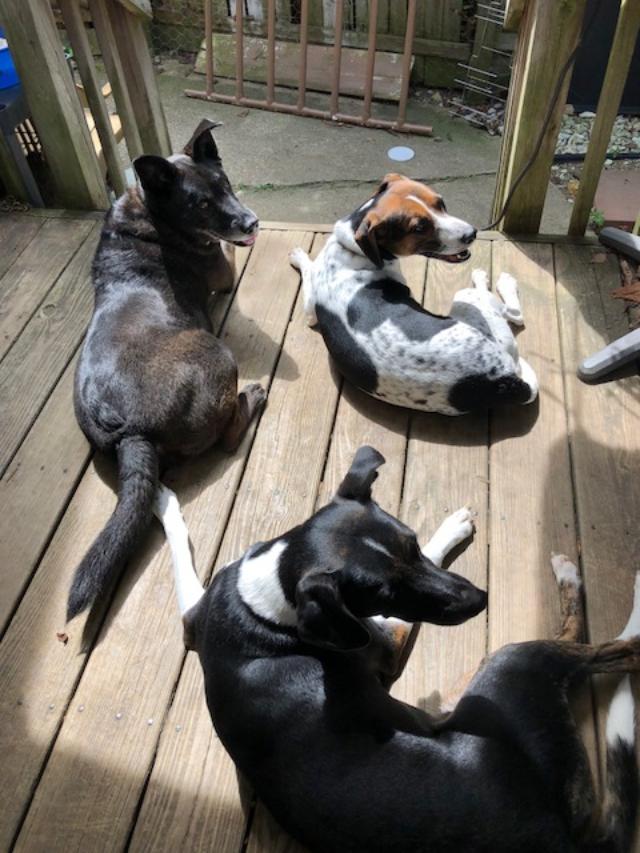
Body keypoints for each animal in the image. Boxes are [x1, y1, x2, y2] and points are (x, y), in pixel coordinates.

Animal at [68, 119, 266, 621]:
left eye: (226, 184)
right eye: (200, 203)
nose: (252, 222)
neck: (150, 217)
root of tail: (129, 430)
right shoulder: (223, 272)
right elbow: (228, 259)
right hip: (218, 355)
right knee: (228, 436)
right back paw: (252, 398)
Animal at [154, 445, 638, 853]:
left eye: (412, 542)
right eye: (384, 593)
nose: (480, 600)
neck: (269, 597)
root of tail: (556, 837)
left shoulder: (193, 616)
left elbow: (182, 560)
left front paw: (163, 502)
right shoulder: (381, 641)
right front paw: (452, 530)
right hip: (511, 665)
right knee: (608, 647)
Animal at [290, 173, 538, 415]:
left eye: (441, 203)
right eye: (419, 228)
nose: (471, 234)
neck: (349, 246)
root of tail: (504, 380)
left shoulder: (311, 308)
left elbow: (310, 273)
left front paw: (300, 256)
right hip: (468, 298)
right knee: (513, 313)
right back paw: (499, 281)